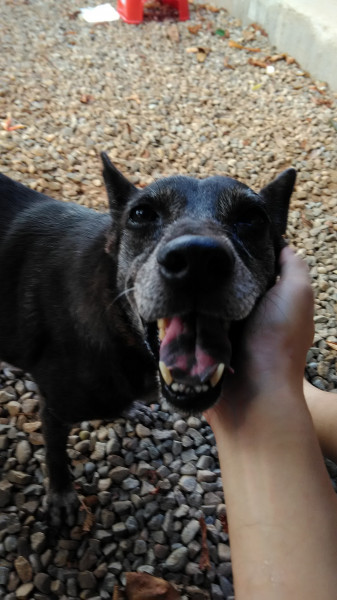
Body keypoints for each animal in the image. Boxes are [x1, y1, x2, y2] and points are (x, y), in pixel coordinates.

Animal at [0, 152, 294, 524]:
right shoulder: (54, 408)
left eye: (252, 218)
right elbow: (55, 454)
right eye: (141, 214)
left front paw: (132, 409)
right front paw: (62, 496)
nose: (198, 259)